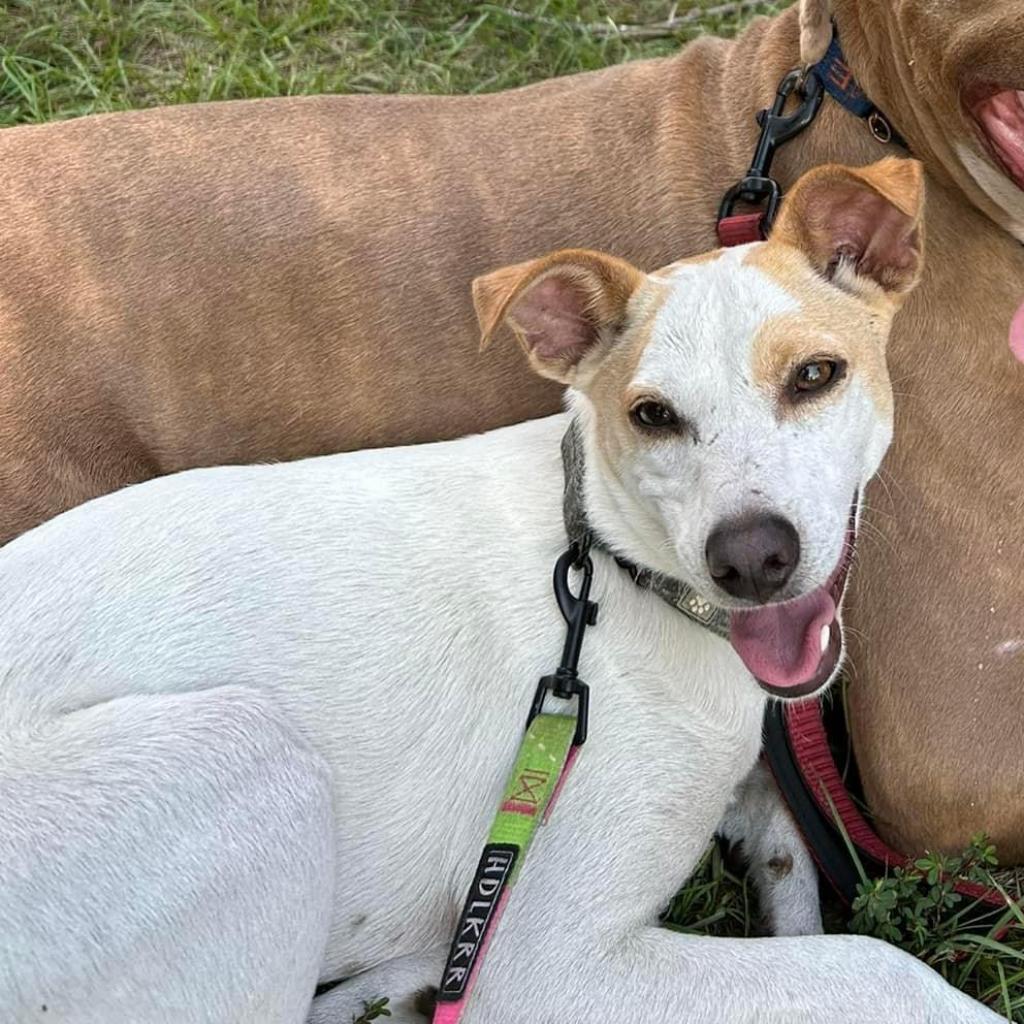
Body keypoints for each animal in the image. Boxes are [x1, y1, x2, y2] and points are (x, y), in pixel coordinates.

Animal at [0, 157, 999, 1024]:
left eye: (815, 374)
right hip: (240, 745)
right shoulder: (545, 961)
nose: (753, 560)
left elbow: (794, 864)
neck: (615, 575)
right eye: (652, 416)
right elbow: (875, 966)